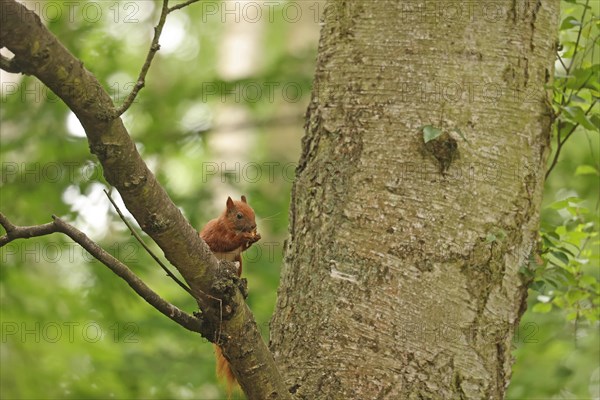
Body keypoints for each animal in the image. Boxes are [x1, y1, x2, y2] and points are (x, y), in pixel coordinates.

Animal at [199, 195, 260, 392]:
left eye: (253, 211)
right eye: (239, 215)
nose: (253, 226)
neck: (229, 226)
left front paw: (254, 238)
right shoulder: (216, 234)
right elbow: (226, 242)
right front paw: (244, 237)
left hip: (238, 262)